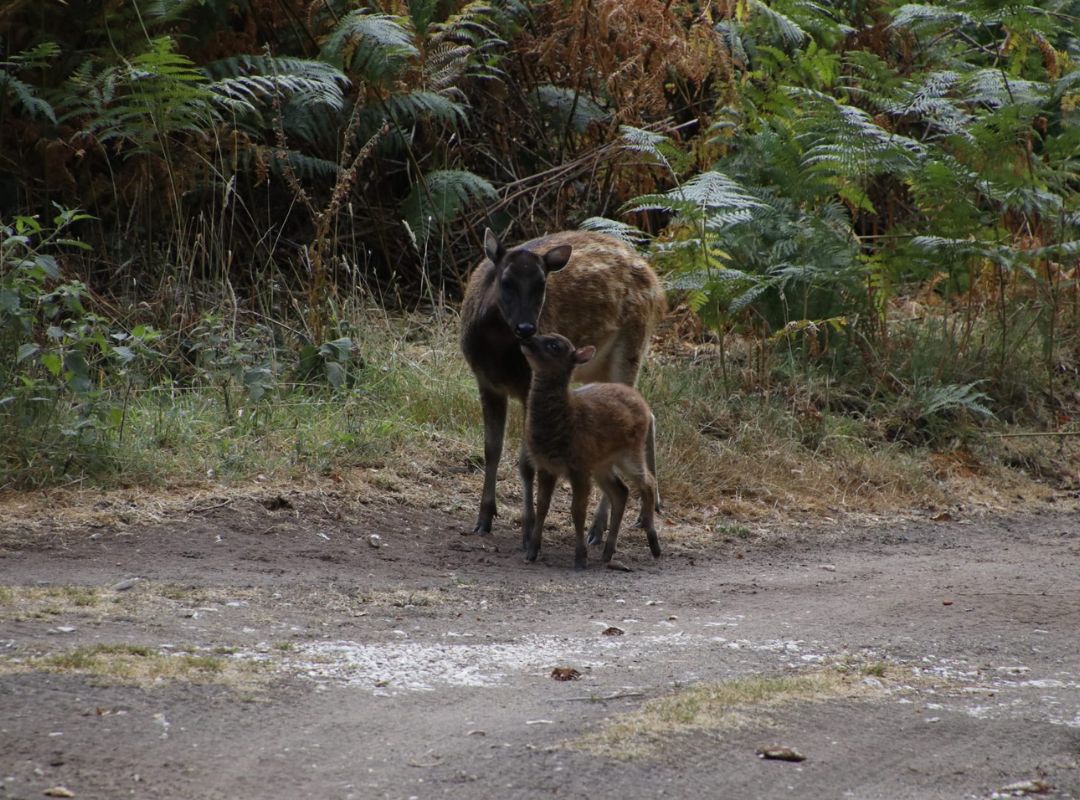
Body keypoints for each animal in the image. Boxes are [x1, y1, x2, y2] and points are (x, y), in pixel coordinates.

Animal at [520, 333, 661, 569]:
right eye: (542, 334)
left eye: (555, 345)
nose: (527, 339)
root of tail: (644, 404)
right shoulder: (546, 465)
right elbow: (542, 506)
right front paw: (532, 551)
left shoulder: (579, 464)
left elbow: (577, 510)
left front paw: (580, 557)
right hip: (602, 464)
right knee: (621, 491)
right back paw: (608, 552)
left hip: (630, 452)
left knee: (648, 482)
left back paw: (653, 544)